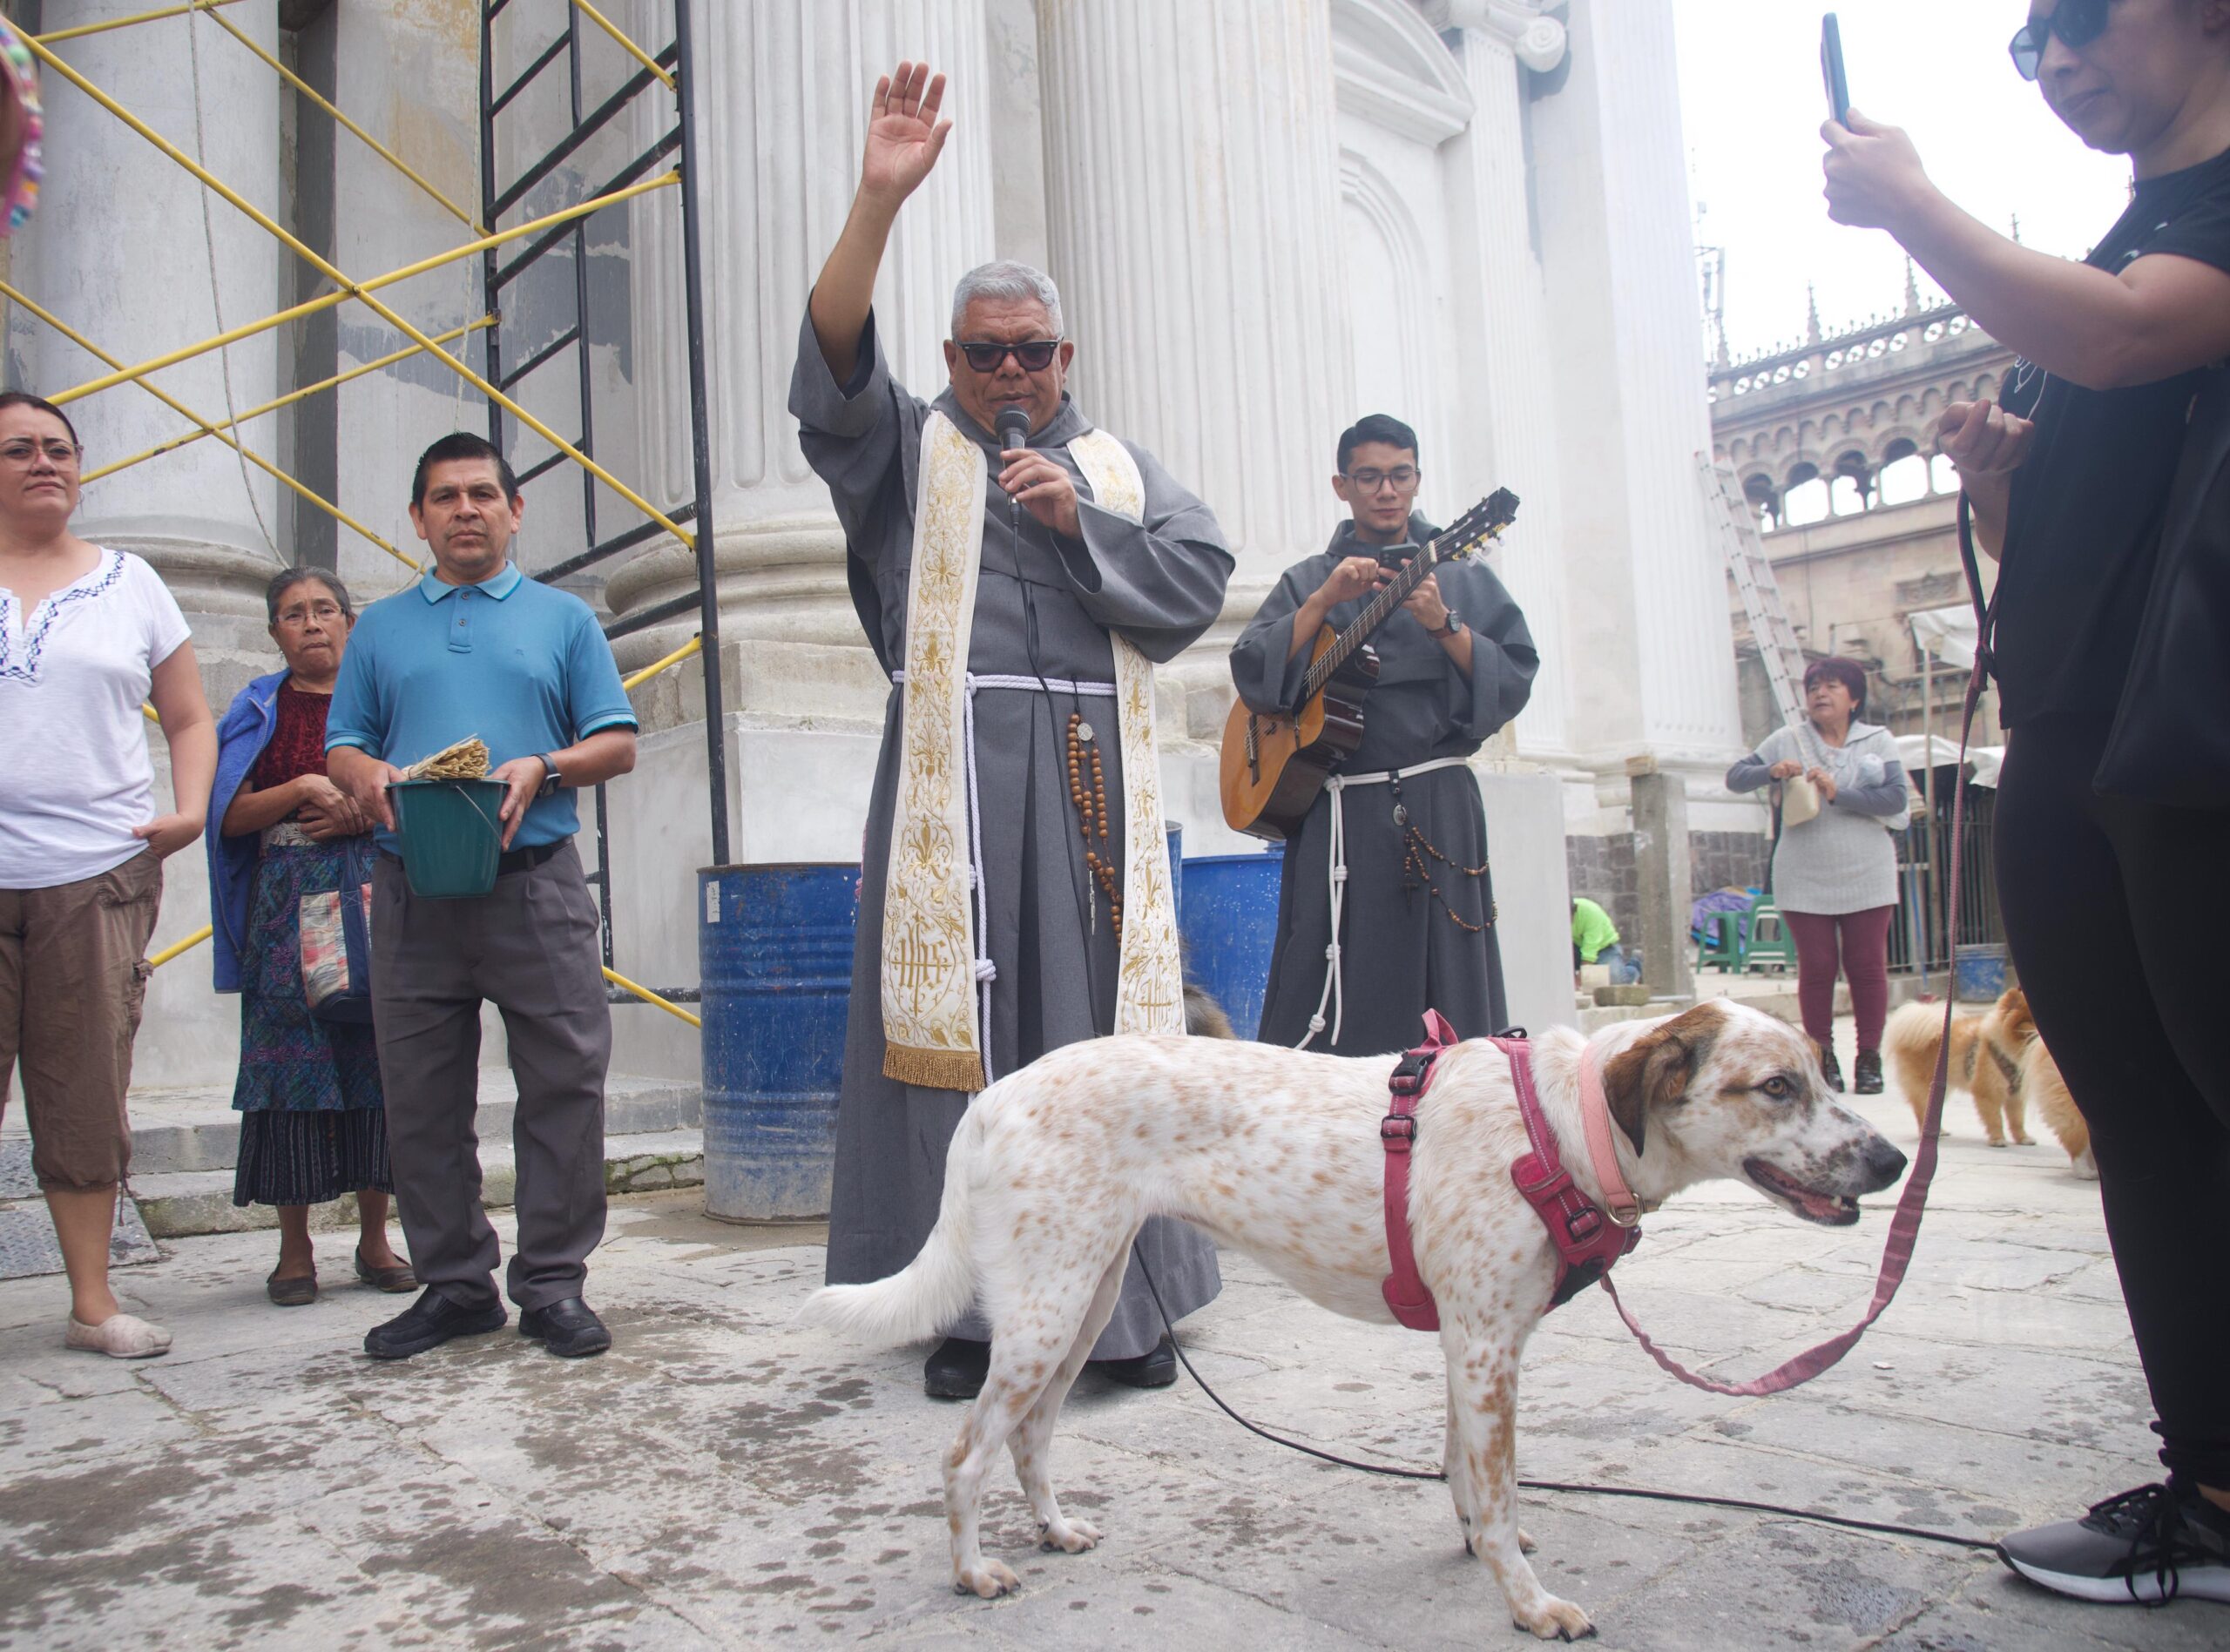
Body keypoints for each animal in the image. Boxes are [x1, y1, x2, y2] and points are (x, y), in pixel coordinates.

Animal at [802, 994, 1900, 1641]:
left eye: (1824, 1070)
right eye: (1776, 1086)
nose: (1893, 1159)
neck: (1562, 1124)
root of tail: (990, 1096)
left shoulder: (1473, 1345)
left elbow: (1471, 1478)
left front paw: (1477, 1544)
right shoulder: (1488, 1348)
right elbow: (1500, 1490)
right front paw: (1527, 1603)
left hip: (1084, 1296)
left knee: (1028, 1437)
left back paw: (1054, 1528)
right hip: (1046, 1308)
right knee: (964, 1455)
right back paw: (971, 1572)